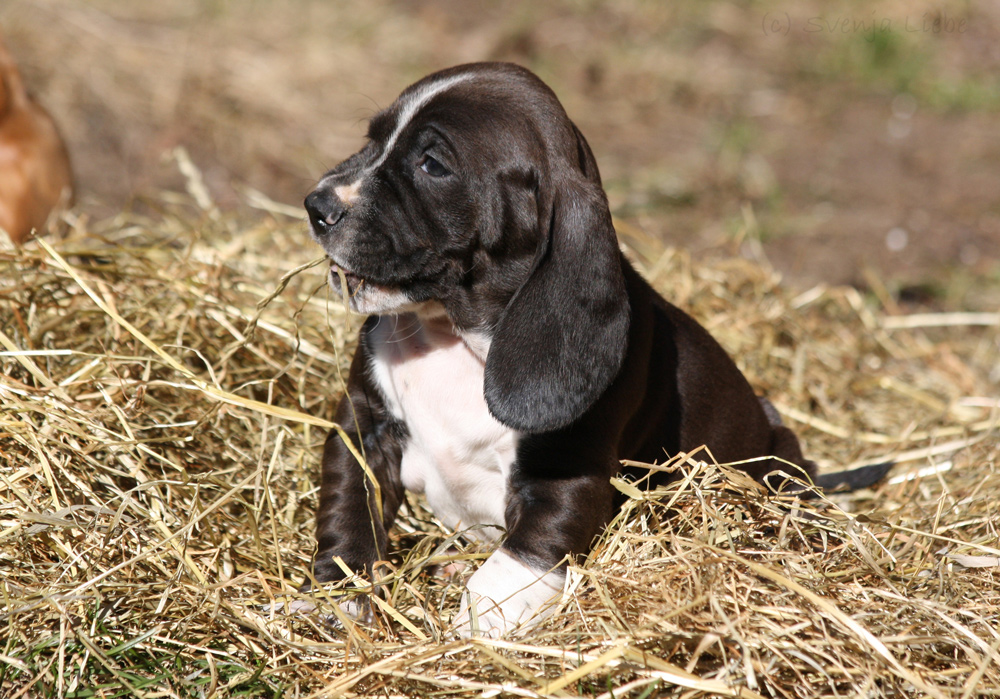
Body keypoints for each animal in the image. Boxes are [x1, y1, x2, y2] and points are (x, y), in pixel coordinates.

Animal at [300, 63, 888, 636]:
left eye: (432, 165)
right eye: (373, 139)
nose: (317, 204)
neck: (456, 335)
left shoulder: (565, 475)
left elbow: (518, 560)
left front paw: (480, 619)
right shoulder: (364, 428)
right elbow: (349, 509)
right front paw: (337, 597)